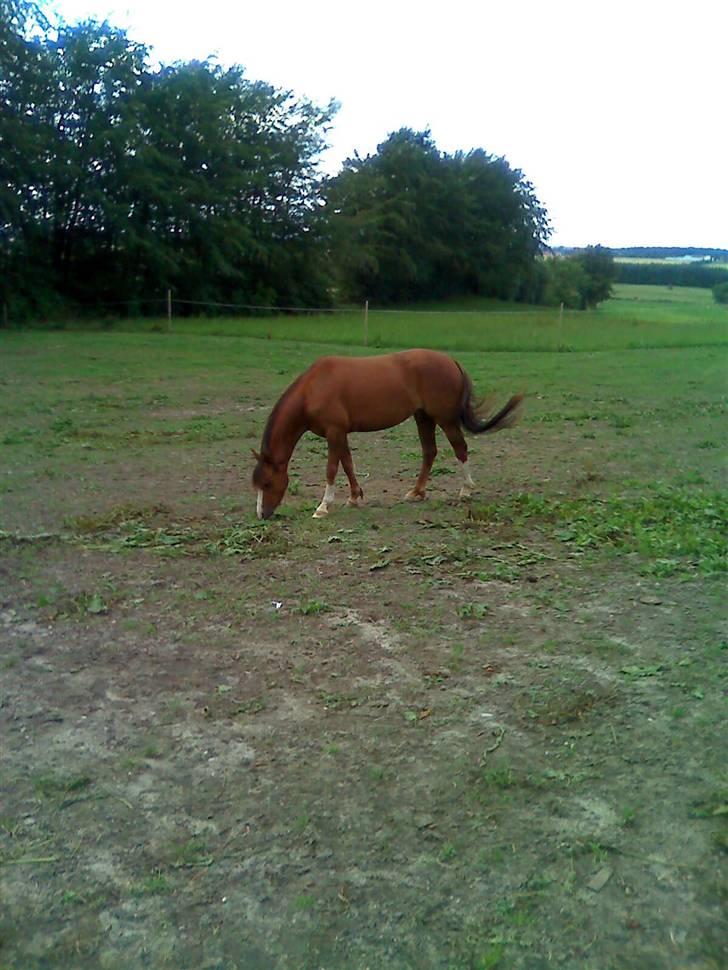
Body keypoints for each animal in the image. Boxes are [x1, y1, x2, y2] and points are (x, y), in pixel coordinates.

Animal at [251, 349, 523, 520]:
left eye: (267, 483)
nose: (262, 515)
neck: (314, 388)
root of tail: (451, 361)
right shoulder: (341, 434)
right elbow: (348, 464)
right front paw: (354, 497)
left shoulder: (334, 431)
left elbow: (332, 468)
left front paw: (323, 507)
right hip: (423, 417)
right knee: (430, 452)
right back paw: (416, 492)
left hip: (445, 419)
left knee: (460, 448)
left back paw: (466, 489)